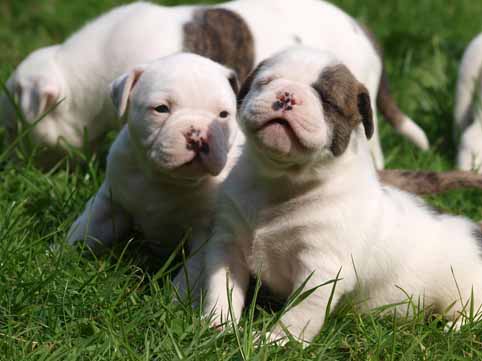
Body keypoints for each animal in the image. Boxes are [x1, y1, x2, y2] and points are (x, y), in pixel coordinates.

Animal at [67, 53, 240, 294]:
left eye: (223, 115)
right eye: (161, 109)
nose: (198, 135)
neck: (165, 179)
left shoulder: (205, 233)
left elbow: (191, 274)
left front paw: (175, 299)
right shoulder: (110, 203)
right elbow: (83, 230)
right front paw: (56, 257)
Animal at [203, 47, 482, 344]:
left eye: (327, 100)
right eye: (265, 82)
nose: (287, 95)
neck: (282, 180)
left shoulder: (321, 268)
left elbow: (301, 311)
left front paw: (277, 339)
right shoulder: (228, 245)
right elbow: (222, 286)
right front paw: (217, 323)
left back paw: (455, 327)